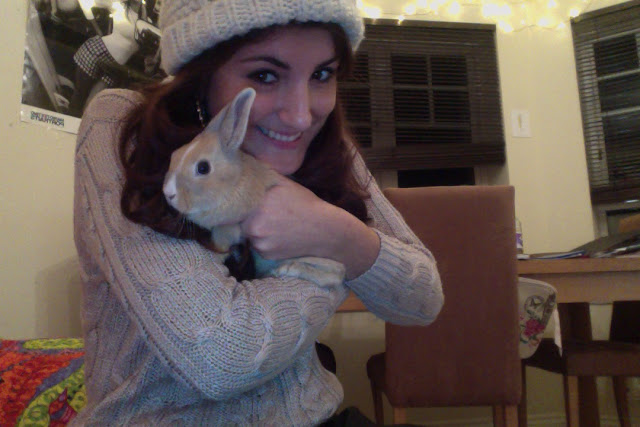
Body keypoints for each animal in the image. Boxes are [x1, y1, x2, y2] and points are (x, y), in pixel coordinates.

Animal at [162, 87, 345, 288]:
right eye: (175, 154)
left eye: (203, 167)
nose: (168, 193)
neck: (234, 183)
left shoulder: (229, 228)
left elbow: (222, 243)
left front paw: (218, 254)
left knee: (335, 274)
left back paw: (287, 269)